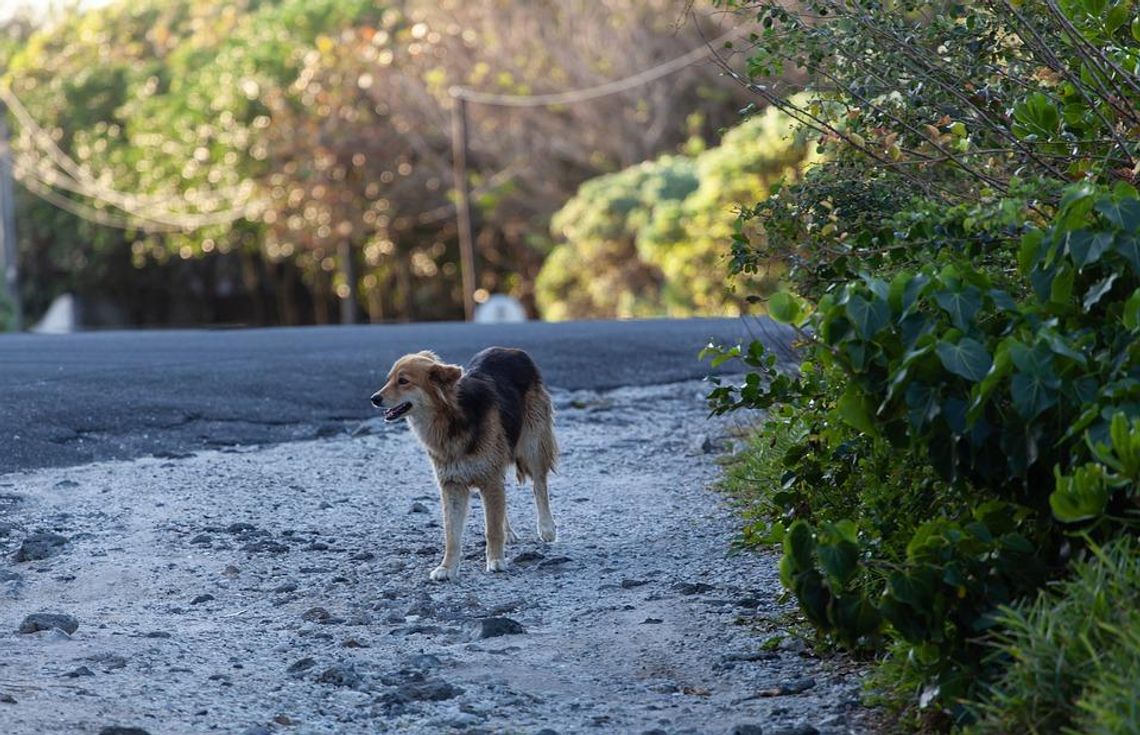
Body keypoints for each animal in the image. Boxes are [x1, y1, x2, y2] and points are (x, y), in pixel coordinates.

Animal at [369, 346, 556, 581]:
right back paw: (509, 533)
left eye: (403, 381)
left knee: (539, 485)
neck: (451, 419)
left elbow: (492, 527)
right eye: (389, 380)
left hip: (532, 445)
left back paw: (547, 528)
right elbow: (452, 534)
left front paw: (496, 560)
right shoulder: (452, 485)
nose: (374, 398)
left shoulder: (489, 478)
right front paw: (447, 567)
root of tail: (512, 350)